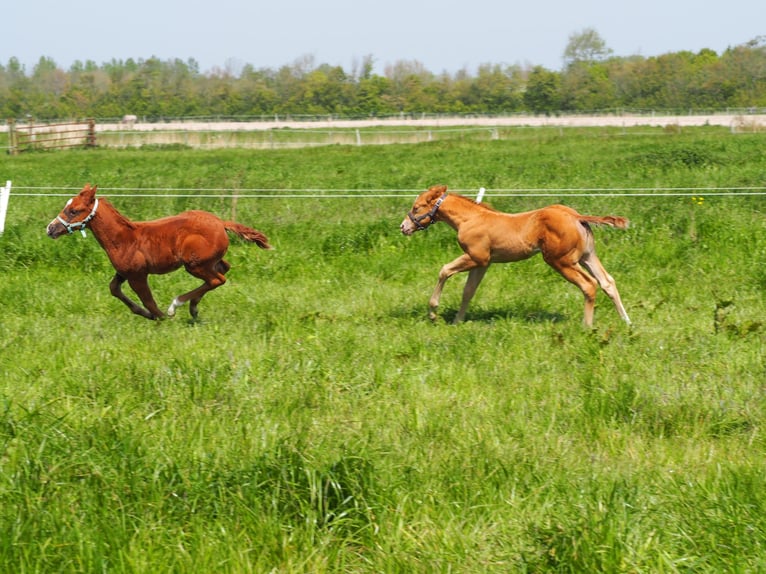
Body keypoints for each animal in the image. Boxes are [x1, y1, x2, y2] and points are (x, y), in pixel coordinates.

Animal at [45, 183, 272, 320]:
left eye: (73, 211)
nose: (50, 229)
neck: (124, 238)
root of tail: (221, 222)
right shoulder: (123, 272)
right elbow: (114, 288)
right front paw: (142, 312)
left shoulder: (137, 275)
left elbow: (148, 299)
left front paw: (159, 316)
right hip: (209, 261)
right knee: (223, 270)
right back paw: (193, 307)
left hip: (194, 264)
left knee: (217, 279)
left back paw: (177, 305)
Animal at [400, 186, 632, 328]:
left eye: (416, 207)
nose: (403, 227)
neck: (470, 219)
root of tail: (575, 216)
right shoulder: (483, 263)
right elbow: (468, 291)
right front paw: (458, 321)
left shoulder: (476, 257)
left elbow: (445, 270)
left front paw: (433, 312)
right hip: (587, 256)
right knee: (607, 282)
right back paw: (627, 321)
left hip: (561, 261)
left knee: (589, 284)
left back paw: (587, 326)